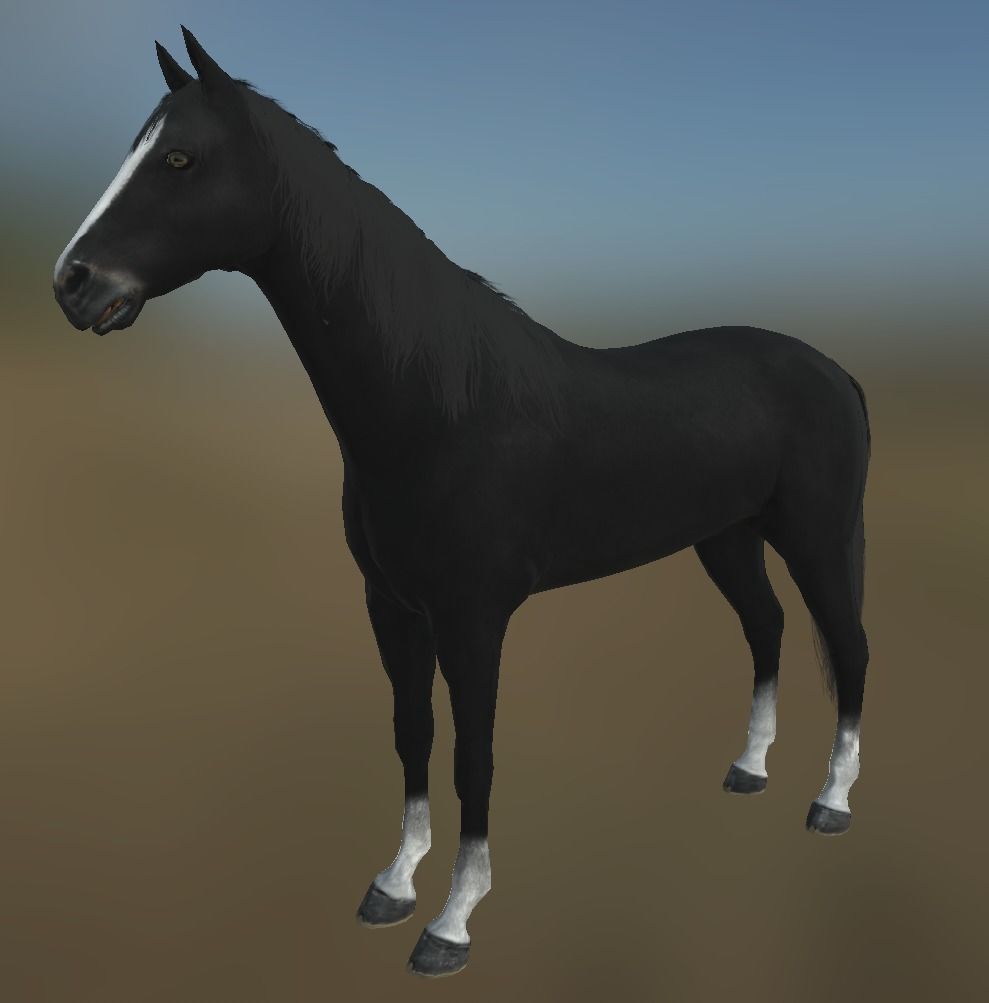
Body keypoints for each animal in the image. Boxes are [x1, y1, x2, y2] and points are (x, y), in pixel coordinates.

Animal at [53, 26, 871, 978]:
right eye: (137, 148)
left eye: (179, 158)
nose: (72, 282)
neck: (441, 406)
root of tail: (832, 369)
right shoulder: (392, 604)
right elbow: (413, 733)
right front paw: (391, 885)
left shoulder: (474, 615)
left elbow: (472, 754)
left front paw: (451, 923)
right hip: (727, 538)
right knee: (765, 628)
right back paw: (747, 770)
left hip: (816, 535)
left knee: (848, 648)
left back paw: (830, 803)